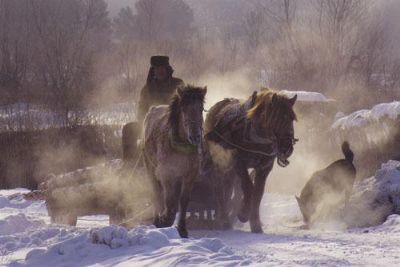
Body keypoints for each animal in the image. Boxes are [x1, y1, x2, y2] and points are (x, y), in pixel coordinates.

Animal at [143, 85, 206, 238]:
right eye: (183, 109)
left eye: (200, 108)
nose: (195, 136)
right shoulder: (167, 175)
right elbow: (169, 202)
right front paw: (164, 220)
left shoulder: (189, 176)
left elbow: (183, 201)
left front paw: (182, 229)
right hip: (150, 169)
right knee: (156, 193)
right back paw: (157, 219)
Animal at [206, 89, 296, 233]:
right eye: (276, 118)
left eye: (292, 118)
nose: (286, 148)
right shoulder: (239, 163)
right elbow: (248, 187)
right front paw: (243, 214)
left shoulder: (264, 167)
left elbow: (258, 192)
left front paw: (255, 224)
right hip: (219, 162)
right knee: (218, 187)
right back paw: (224, 219)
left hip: (229, 168)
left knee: (228, 186)